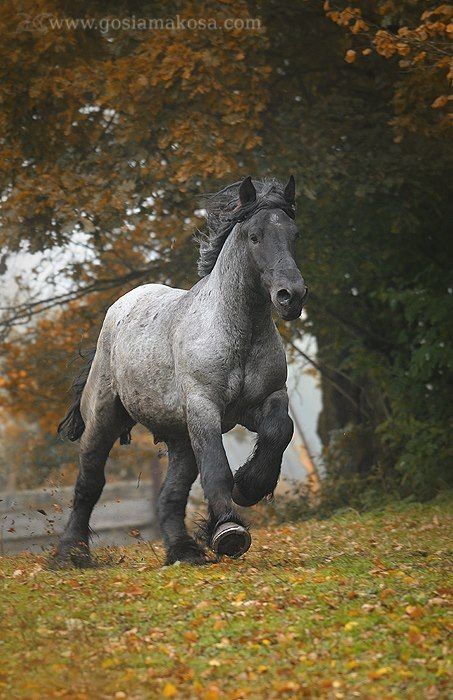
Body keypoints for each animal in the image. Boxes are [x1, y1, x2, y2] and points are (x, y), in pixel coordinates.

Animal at [53, 176, 308, 568]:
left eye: (294, 234)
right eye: (254, 236)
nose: (291, 296)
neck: (237, 331)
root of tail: (119, 309)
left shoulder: (265, 400)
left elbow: (280, 430)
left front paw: (249, 486)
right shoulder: (204, 406)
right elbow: (216, 467)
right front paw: (228, 531)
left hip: (179, 437)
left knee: (170, 494)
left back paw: (183, 551)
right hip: (103, 421)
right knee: (89, 483)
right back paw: (71, 553)